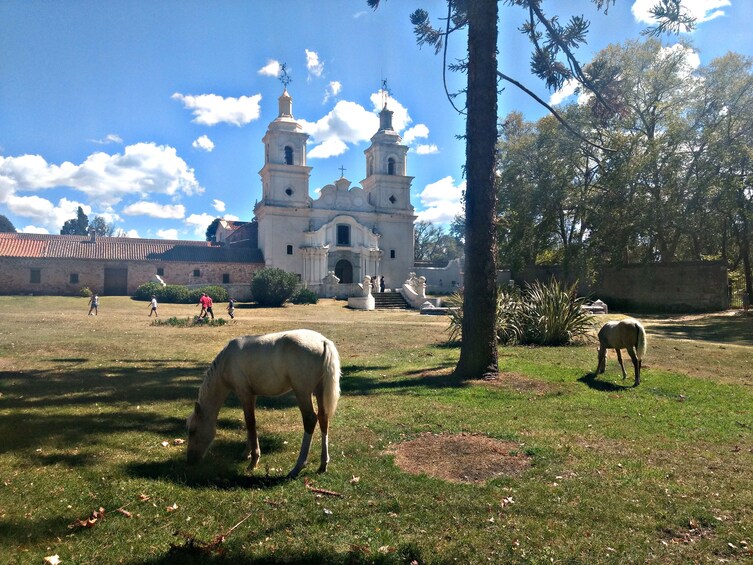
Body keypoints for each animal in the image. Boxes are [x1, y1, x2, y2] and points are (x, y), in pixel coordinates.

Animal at [187, 328, 342, 478]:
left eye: (192, 431)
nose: (190, 461)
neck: (226, 361)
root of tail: (323, 341)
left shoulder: (244, 393)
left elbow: (250, 423)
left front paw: (253, 461)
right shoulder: (251, 395)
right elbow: (249, 423)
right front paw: (247, 453)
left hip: (302, 392)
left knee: (310, 419)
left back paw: (297, 467)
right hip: (319, 390)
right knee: (323, 418)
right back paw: (323, 464)